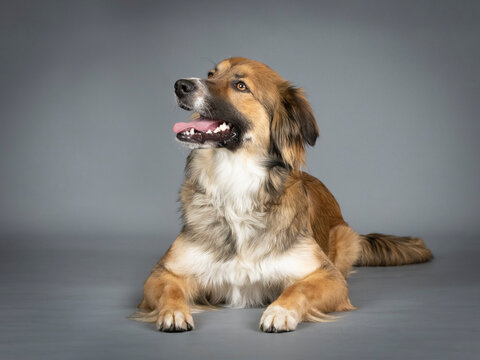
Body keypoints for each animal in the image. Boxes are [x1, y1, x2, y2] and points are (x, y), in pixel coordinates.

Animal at [129, 57, 434, 334]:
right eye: (211, 73)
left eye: (240, 85)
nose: (180, 85)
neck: (236, 182)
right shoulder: (163, 272)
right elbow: (170, 290)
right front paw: (174, 313)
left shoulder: (329, 277)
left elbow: (299, 289)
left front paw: (279, 311)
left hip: (344, 238)